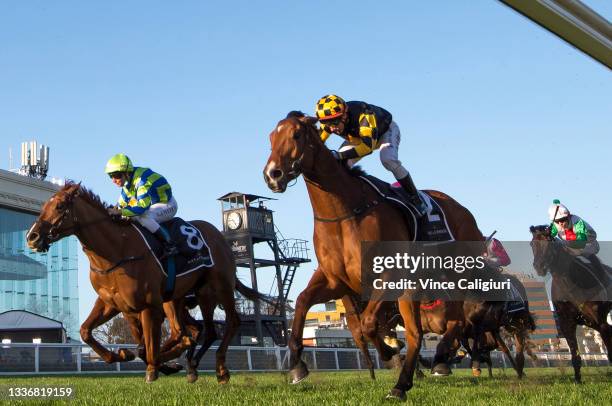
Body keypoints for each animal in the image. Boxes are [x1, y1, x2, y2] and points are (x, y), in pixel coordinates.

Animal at [26, 182, 246, 382]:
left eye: (60, 206)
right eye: (44, 206)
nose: (32, 237)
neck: (115, 252)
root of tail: (218, 235)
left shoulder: (148, 305)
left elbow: (147, 346)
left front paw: (153, 368)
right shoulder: (113, 304)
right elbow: (86, 331)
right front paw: (122, 354)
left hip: (219, 287)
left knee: (228, 323)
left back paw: (220, 370)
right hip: (188, 295)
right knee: (198, 331)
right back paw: (191, 367)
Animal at [262, 112, 482, 402]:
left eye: (296, 135)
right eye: (270, 138)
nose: (271, 174)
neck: (343, 212)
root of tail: (464, 211)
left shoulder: (388, 276)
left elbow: (368, 324)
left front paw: (390, 351)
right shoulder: (336, 281)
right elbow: (302, 302)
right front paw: (297, 367)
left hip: (456, 274)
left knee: (451, 321)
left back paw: (432, 364)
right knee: (419, 331)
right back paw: (409, 380)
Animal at [528, 224, 608, 382]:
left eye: (549, 243)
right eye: (532, 244)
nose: (539, 266)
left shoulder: (600, 321)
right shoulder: (567, 323)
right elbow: (575, 355)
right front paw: (577, 380)